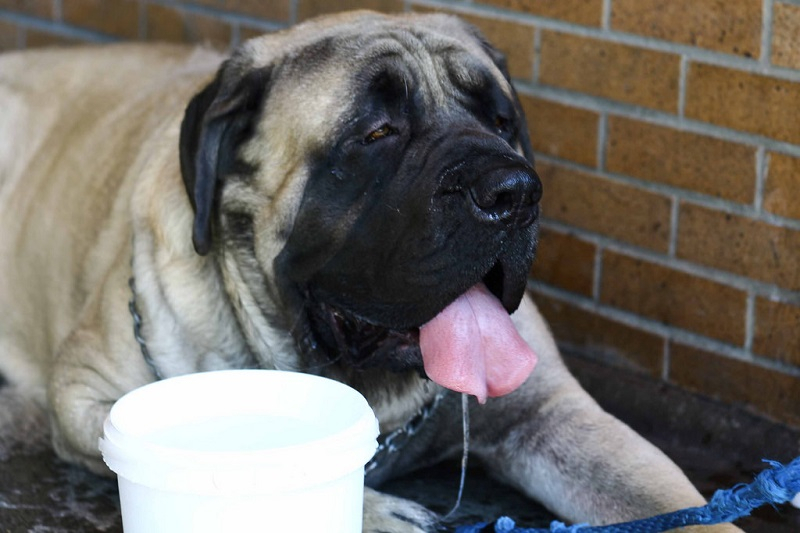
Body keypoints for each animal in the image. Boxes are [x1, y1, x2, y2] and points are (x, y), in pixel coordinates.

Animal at [0, 10, 740, 528]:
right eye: (377, 132)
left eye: (501, 121)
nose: (514, 192)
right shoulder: (86, 395)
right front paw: (379, 511)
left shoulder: (552, 413)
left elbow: (682, 501)